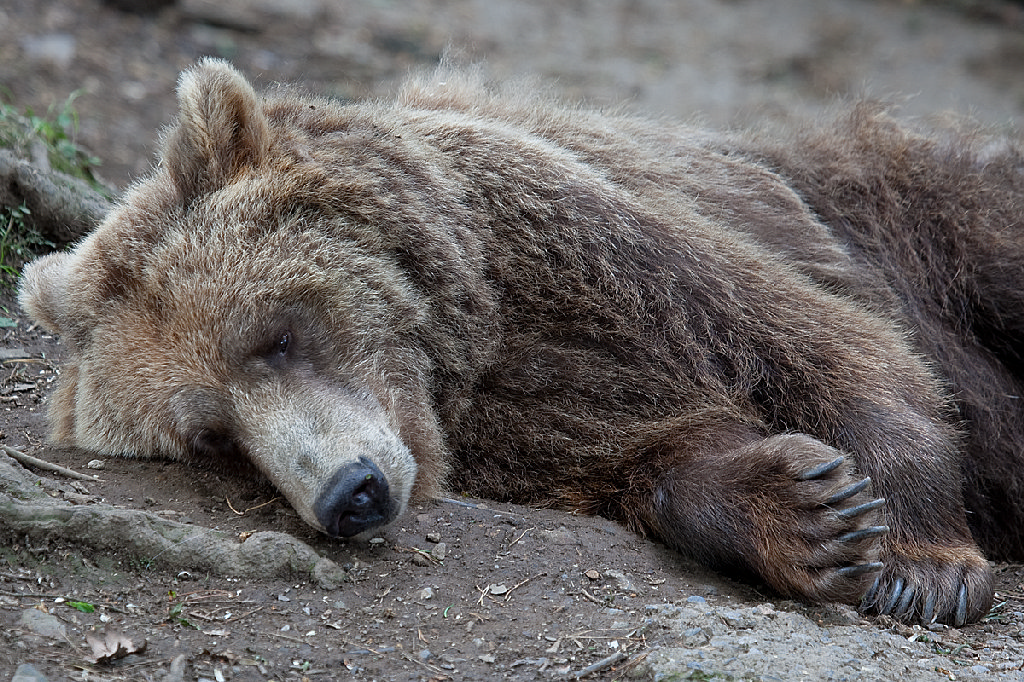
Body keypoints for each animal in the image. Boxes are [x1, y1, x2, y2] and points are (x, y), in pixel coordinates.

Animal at [17, 58, 1024, 627]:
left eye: (274, 337)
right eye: (212, 440)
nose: (350, 492)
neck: (475, 342)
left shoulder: (591, 249)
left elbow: (825, 346)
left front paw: (924, 566)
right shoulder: (531, 428)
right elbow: (656, 459)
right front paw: (806, 513)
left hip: (915, 213)